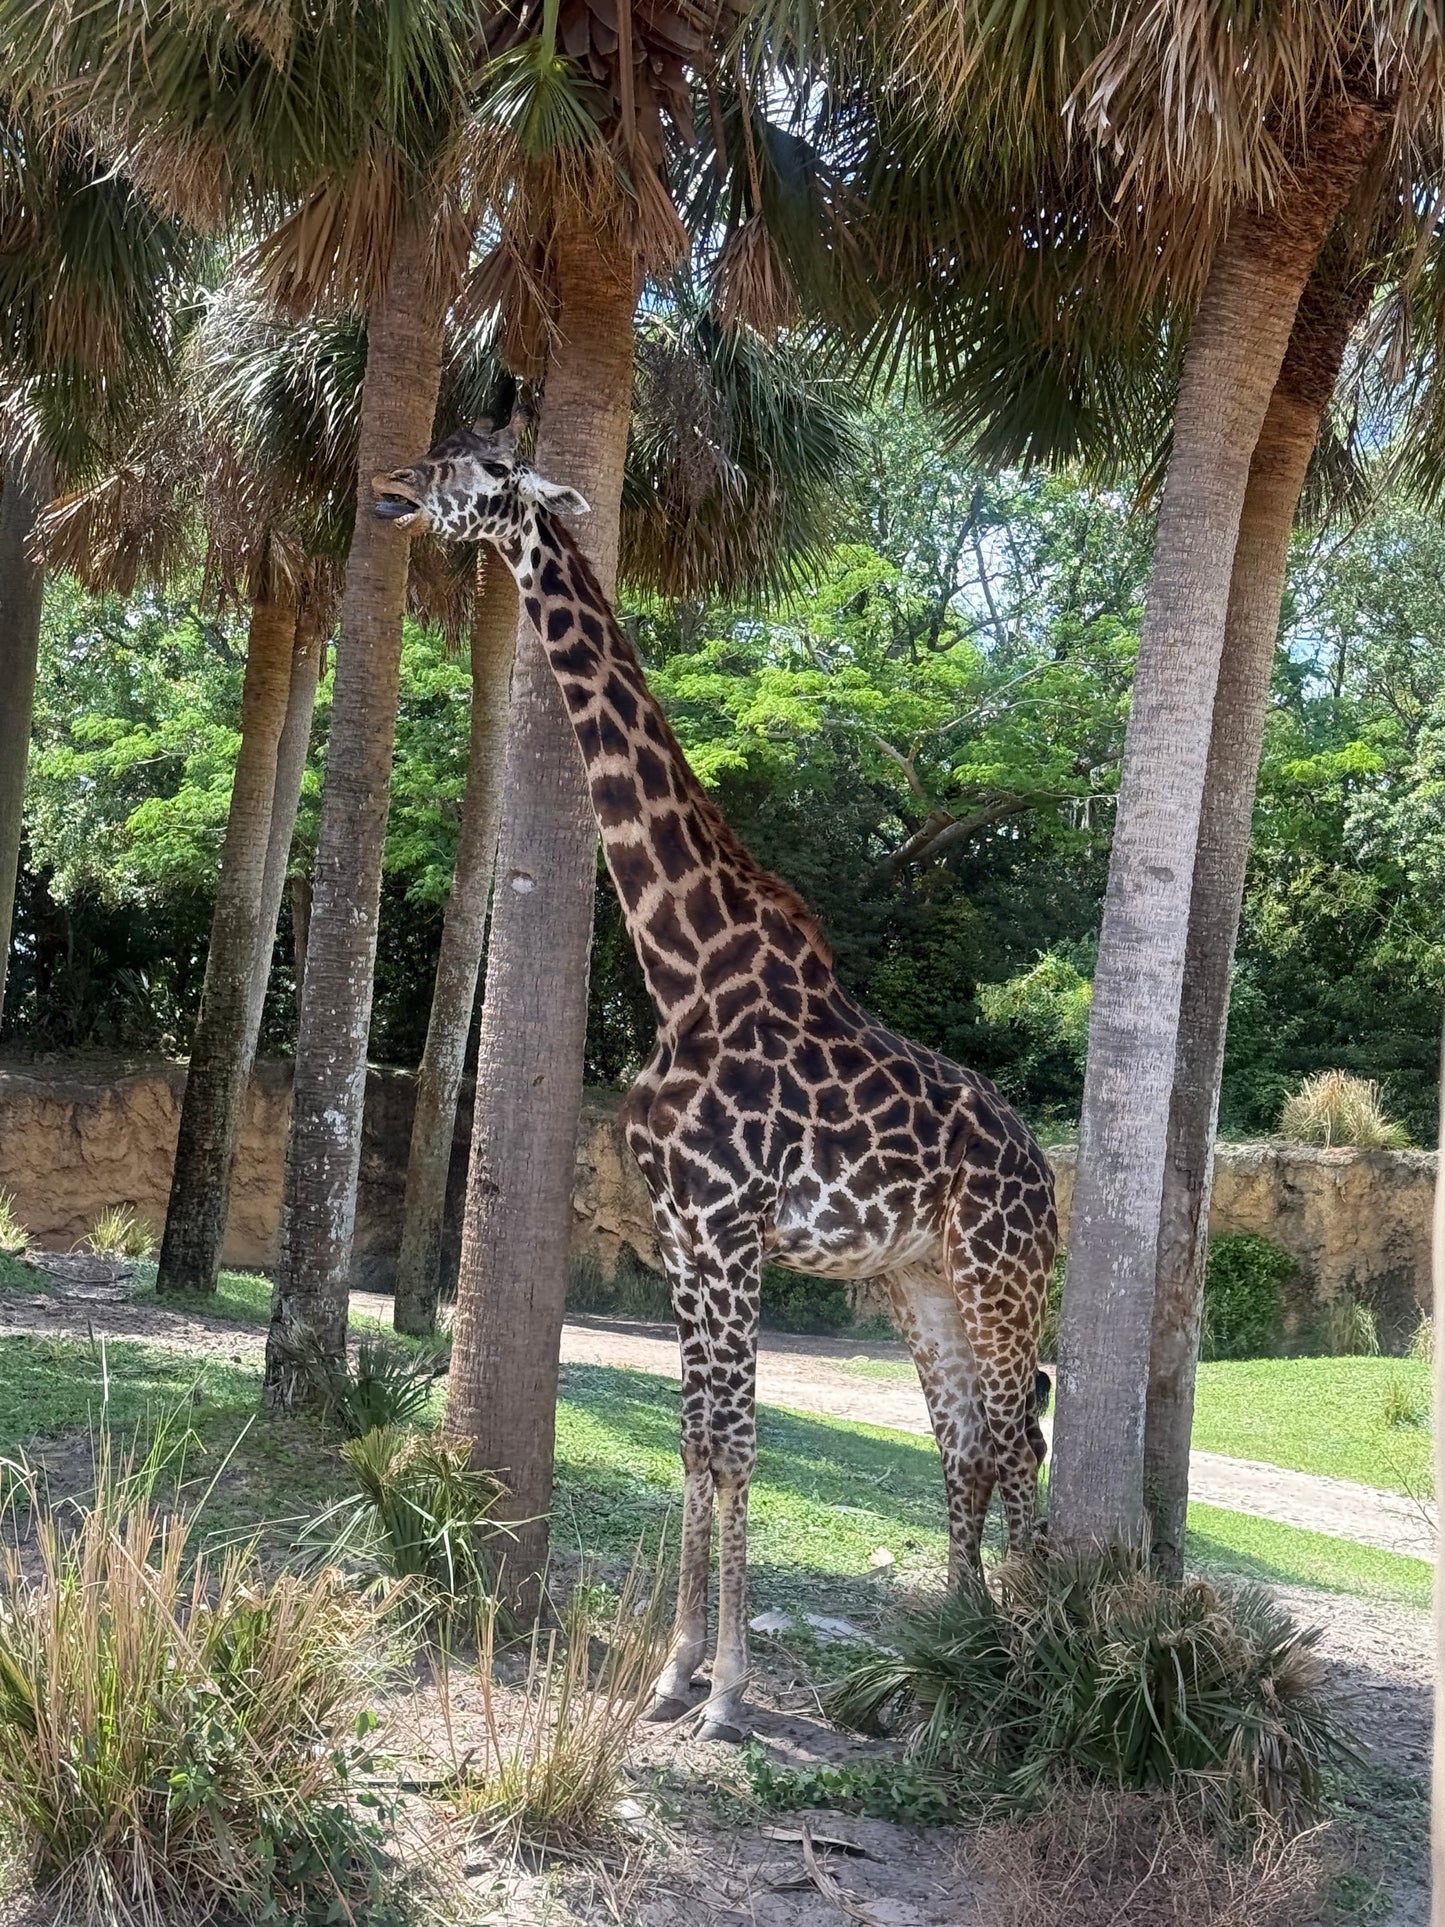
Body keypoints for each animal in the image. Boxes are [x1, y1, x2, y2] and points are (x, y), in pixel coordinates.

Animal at [373, 422, 1058, 1743]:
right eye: (441, 450)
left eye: (484, 475)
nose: (384, 488)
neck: (680, 964)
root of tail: (1048, 1174)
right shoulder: (685, 1237)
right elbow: (694, 1442)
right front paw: (671, 1672)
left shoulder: (732, 1230)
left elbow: (736, 1447)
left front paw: (730, 1694)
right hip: (917, 1281)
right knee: (964, 1440)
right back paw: (953, 1660)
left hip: (1000, 1277)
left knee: (1019, 1434)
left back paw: (1036, 1672)